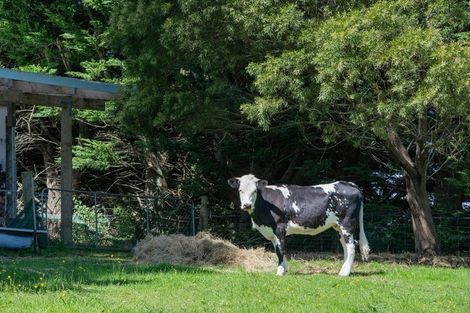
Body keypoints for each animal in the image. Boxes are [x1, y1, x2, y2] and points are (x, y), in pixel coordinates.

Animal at [227, 173, 368, 276]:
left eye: (255, 191)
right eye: (240, 190)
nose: (246, 205)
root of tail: (348, 183)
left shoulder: (280, 227)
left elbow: (281, 250)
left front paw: (280, 272)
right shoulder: (272, 233)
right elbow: (277, 250)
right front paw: (284, 270)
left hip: (347, 224)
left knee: (351, 247)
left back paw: (345, 273)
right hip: (337, 226)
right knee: (345, 247)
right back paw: (342, 271)